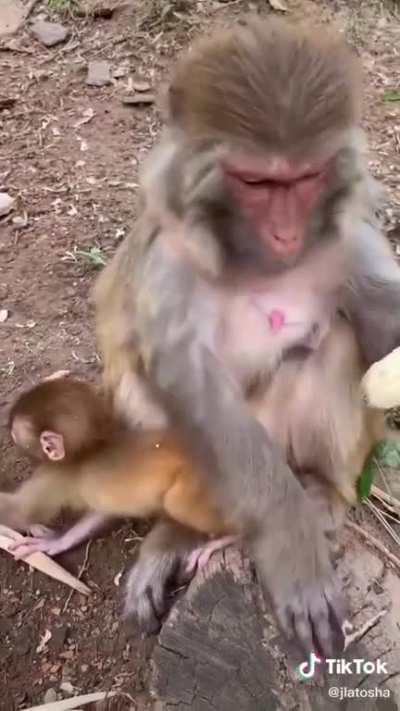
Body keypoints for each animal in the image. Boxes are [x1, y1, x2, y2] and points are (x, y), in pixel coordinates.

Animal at [3, 376, 238, 566]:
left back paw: (232, 537)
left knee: (177, 503)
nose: (10, 436)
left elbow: (19, 512)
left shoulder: (53, 477)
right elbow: (102, 513)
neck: (89, 449)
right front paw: (58, 541)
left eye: (15, 434)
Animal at [92, 17, 400, 656]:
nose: (285, 233)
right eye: (256, 182)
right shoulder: (171, 254)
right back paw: (177, 534)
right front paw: (291, 548)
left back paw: (322, 492)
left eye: (305, 178)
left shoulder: (349, 233)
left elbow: (378, 327)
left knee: (333, 346)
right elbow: (191, 384)